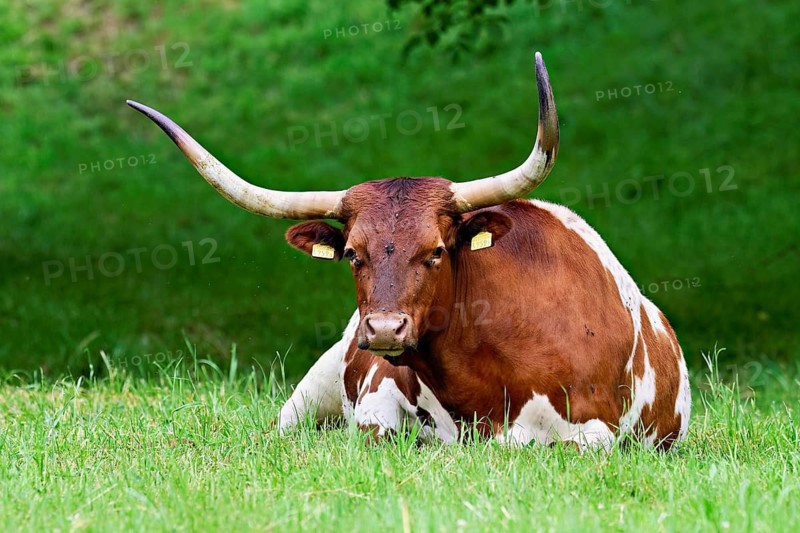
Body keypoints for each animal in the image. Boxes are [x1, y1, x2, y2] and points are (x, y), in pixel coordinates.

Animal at [127, 52, 691, 451]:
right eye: (353, 254)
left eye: (437, 251)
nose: (382, 329)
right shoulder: (376, 405)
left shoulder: (594, 433)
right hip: (308, 394)